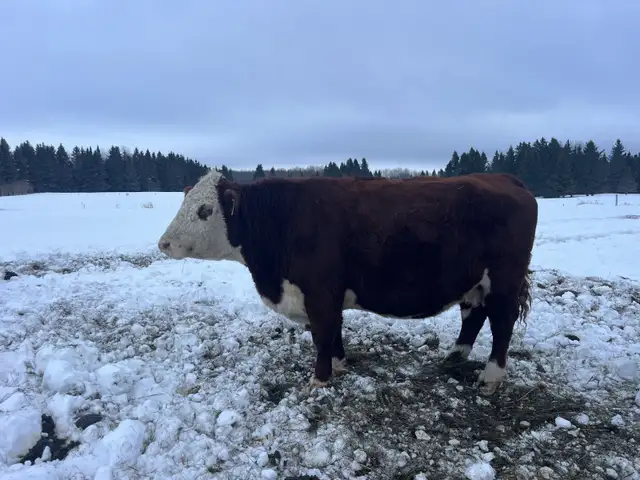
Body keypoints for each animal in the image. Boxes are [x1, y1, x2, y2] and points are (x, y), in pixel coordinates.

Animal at [158, 170, 538, 395]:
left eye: (204, 211)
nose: (164, 244)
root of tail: (506, 179)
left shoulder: (320, 291)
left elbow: (323, 333)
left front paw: (320, 378)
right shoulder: (326, 294)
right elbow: (333, 332)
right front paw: (339, 366)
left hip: (504, 281)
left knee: (501, 324)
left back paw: (491, 376)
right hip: (474, 283)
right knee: (473, 316)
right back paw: (453, 358)